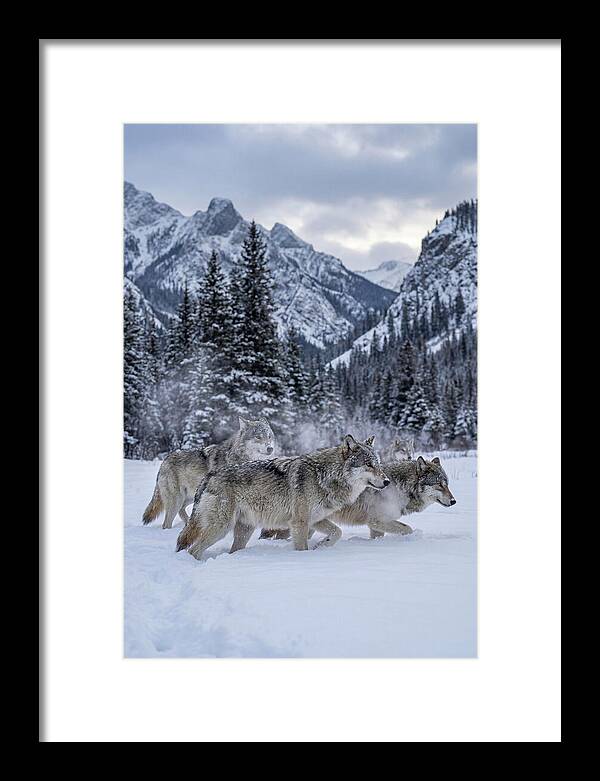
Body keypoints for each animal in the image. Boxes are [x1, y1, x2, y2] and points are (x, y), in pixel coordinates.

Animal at [142, 417, 275, 529]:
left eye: (269, 436)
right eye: (258, 437)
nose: (270, 448)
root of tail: (165, 460)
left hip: (190, 497)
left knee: (181, 511)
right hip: (177, 500)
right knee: (166, 523)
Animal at [175, 435, 389, 559]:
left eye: (378, 464)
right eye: (368, 465)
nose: (386, 481)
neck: (325, 476)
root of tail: (209, 476)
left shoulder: (315, 520)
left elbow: (337, 532)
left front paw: (322, 546)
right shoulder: (299, 523)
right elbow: (302, 548)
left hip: (244, 530)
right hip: (221, 528)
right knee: (193, 549)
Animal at [260, 456, 455, 544]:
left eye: (447, 484)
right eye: (439, 485)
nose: (454, 501)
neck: (399, 487)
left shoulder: (376, 526)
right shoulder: (377, 521)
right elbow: (407, 529)